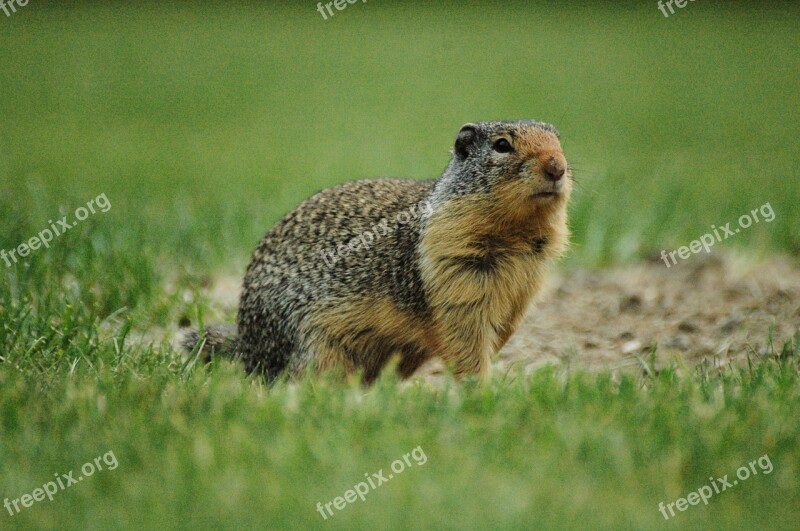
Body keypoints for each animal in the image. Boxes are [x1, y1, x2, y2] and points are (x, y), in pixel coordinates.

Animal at [183, 121, 568, 382]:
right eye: (502, 145)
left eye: (558, 139)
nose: (558, 166)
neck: (515, 237)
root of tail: (247, 344)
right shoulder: (456, 280)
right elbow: (467, 341)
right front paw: (481, 388)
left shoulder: (521, 291)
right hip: (315, 345)